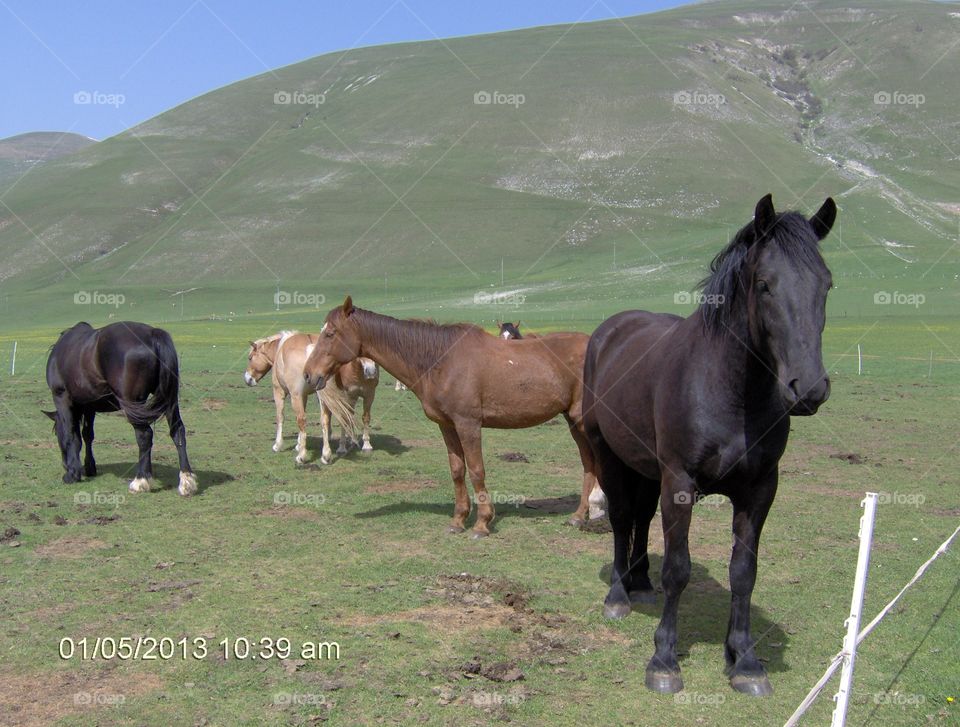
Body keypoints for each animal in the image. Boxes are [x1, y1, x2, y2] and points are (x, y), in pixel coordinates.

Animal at [44, 321, 197, 495]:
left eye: (56, 434)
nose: (65, 464)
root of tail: (152, 334)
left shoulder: (62, 398)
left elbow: (72, 435)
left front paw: (72, 474)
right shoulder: (89, 406)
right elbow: (87, 435)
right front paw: (89, 467)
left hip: (133, 404)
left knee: (144, 435)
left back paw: (141, 480)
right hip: (169, 400)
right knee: (178, 431)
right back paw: (186, 480)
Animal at [244, 331, 369, 464]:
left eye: (250, 358)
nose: (247, 379)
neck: (280, 349)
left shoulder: (281, 392)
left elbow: (280, 417)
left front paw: (278, 445)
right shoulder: (304, 396)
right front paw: (298, 444)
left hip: (296, 397)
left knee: (302, 420)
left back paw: (302, 456)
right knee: (325, 420)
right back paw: (326, 455)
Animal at [302, 299, 599, 535]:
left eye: (330, 333)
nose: (308, 374)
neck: (441, 360)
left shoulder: (469, 425)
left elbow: (477, 470)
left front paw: (482, 523)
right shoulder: (447, 426)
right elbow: (457, 470)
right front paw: (458, 521)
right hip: (574, 421)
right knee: (588, 463)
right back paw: (578, 516)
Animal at [582, 194, 836, 696]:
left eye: (827, 285)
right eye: (764, 284)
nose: (809, 389)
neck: (730, 388)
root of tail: (610, 330)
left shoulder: (759, 490)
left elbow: (744, 572)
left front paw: (745, 660)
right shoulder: (680, 482)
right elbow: (678, 568)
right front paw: (664, 660)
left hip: (646, 468)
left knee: (642, 517)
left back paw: (641, 583)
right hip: (610, 455)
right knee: (621, 519)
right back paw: (619, 594)